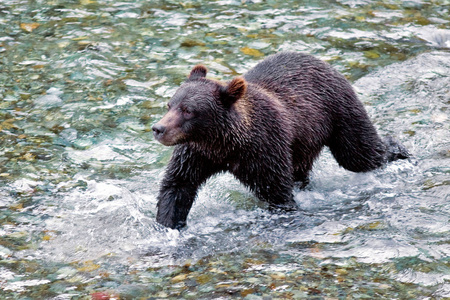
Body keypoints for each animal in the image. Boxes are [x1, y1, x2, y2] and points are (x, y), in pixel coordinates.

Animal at [151, 52, 408, 230]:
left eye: (188, 110)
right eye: (170, 104)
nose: (158, 128)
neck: (223, 144)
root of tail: (324, 62)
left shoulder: (264, 148)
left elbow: (276, 191)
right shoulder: (196, 153)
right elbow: (177, 186)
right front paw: (168, 226)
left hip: (339, 113)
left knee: (358, 154)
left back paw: (400, 151)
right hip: (303, 143)